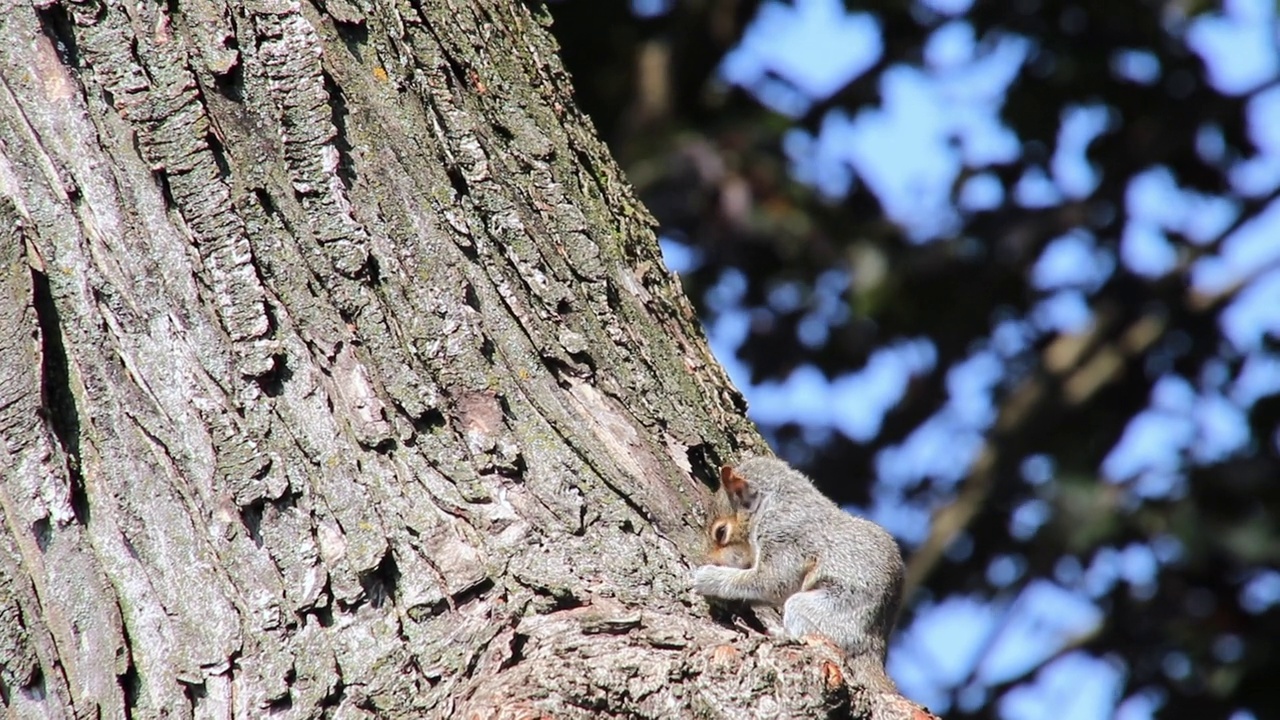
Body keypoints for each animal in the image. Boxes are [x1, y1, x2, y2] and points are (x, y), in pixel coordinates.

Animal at [691, 453, 911, 691]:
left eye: (721, 532)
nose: (707, 560)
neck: (770, 505)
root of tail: (874, 649)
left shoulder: (784, 537)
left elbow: (773, 581)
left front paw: (709, 577)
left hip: (825, 610)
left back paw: (777, 633)